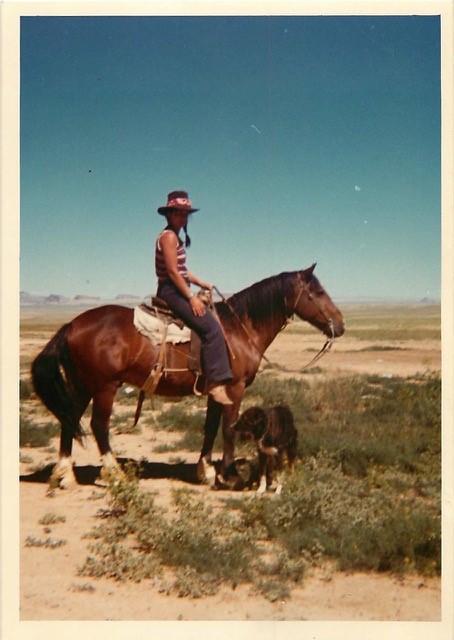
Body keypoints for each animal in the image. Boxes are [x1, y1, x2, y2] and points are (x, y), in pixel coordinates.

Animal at [31, 264, 344, 490]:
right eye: (317, 293)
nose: (340, 325)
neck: (239, 329)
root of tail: (72, 324)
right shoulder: (235, 388)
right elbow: (228, 429)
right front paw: (229, 474)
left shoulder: (216, 391)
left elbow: (210, 428)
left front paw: (205, 470)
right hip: (105, 387)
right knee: (98, 426)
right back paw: (114, 474)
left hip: (82, 386)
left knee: (69, 420)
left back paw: (65, 475)